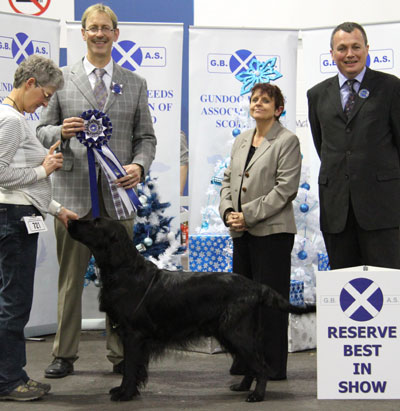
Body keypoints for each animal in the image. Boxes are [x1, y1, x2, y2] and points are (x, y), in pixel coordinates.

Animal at [68, 219, 316, 402]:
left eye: (95, 223)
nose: (71, 220)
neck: (124, 269)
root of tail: (255, 286)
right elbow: (133, 367)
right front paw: (124, 391)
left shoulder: (133, 335)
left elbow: (130, 367)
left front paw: (125, 394)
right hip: (232, 334)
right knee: (251, 364)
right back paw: (242, 386)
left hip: (237, 333)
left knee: (261, 366)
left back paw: (257, 395)